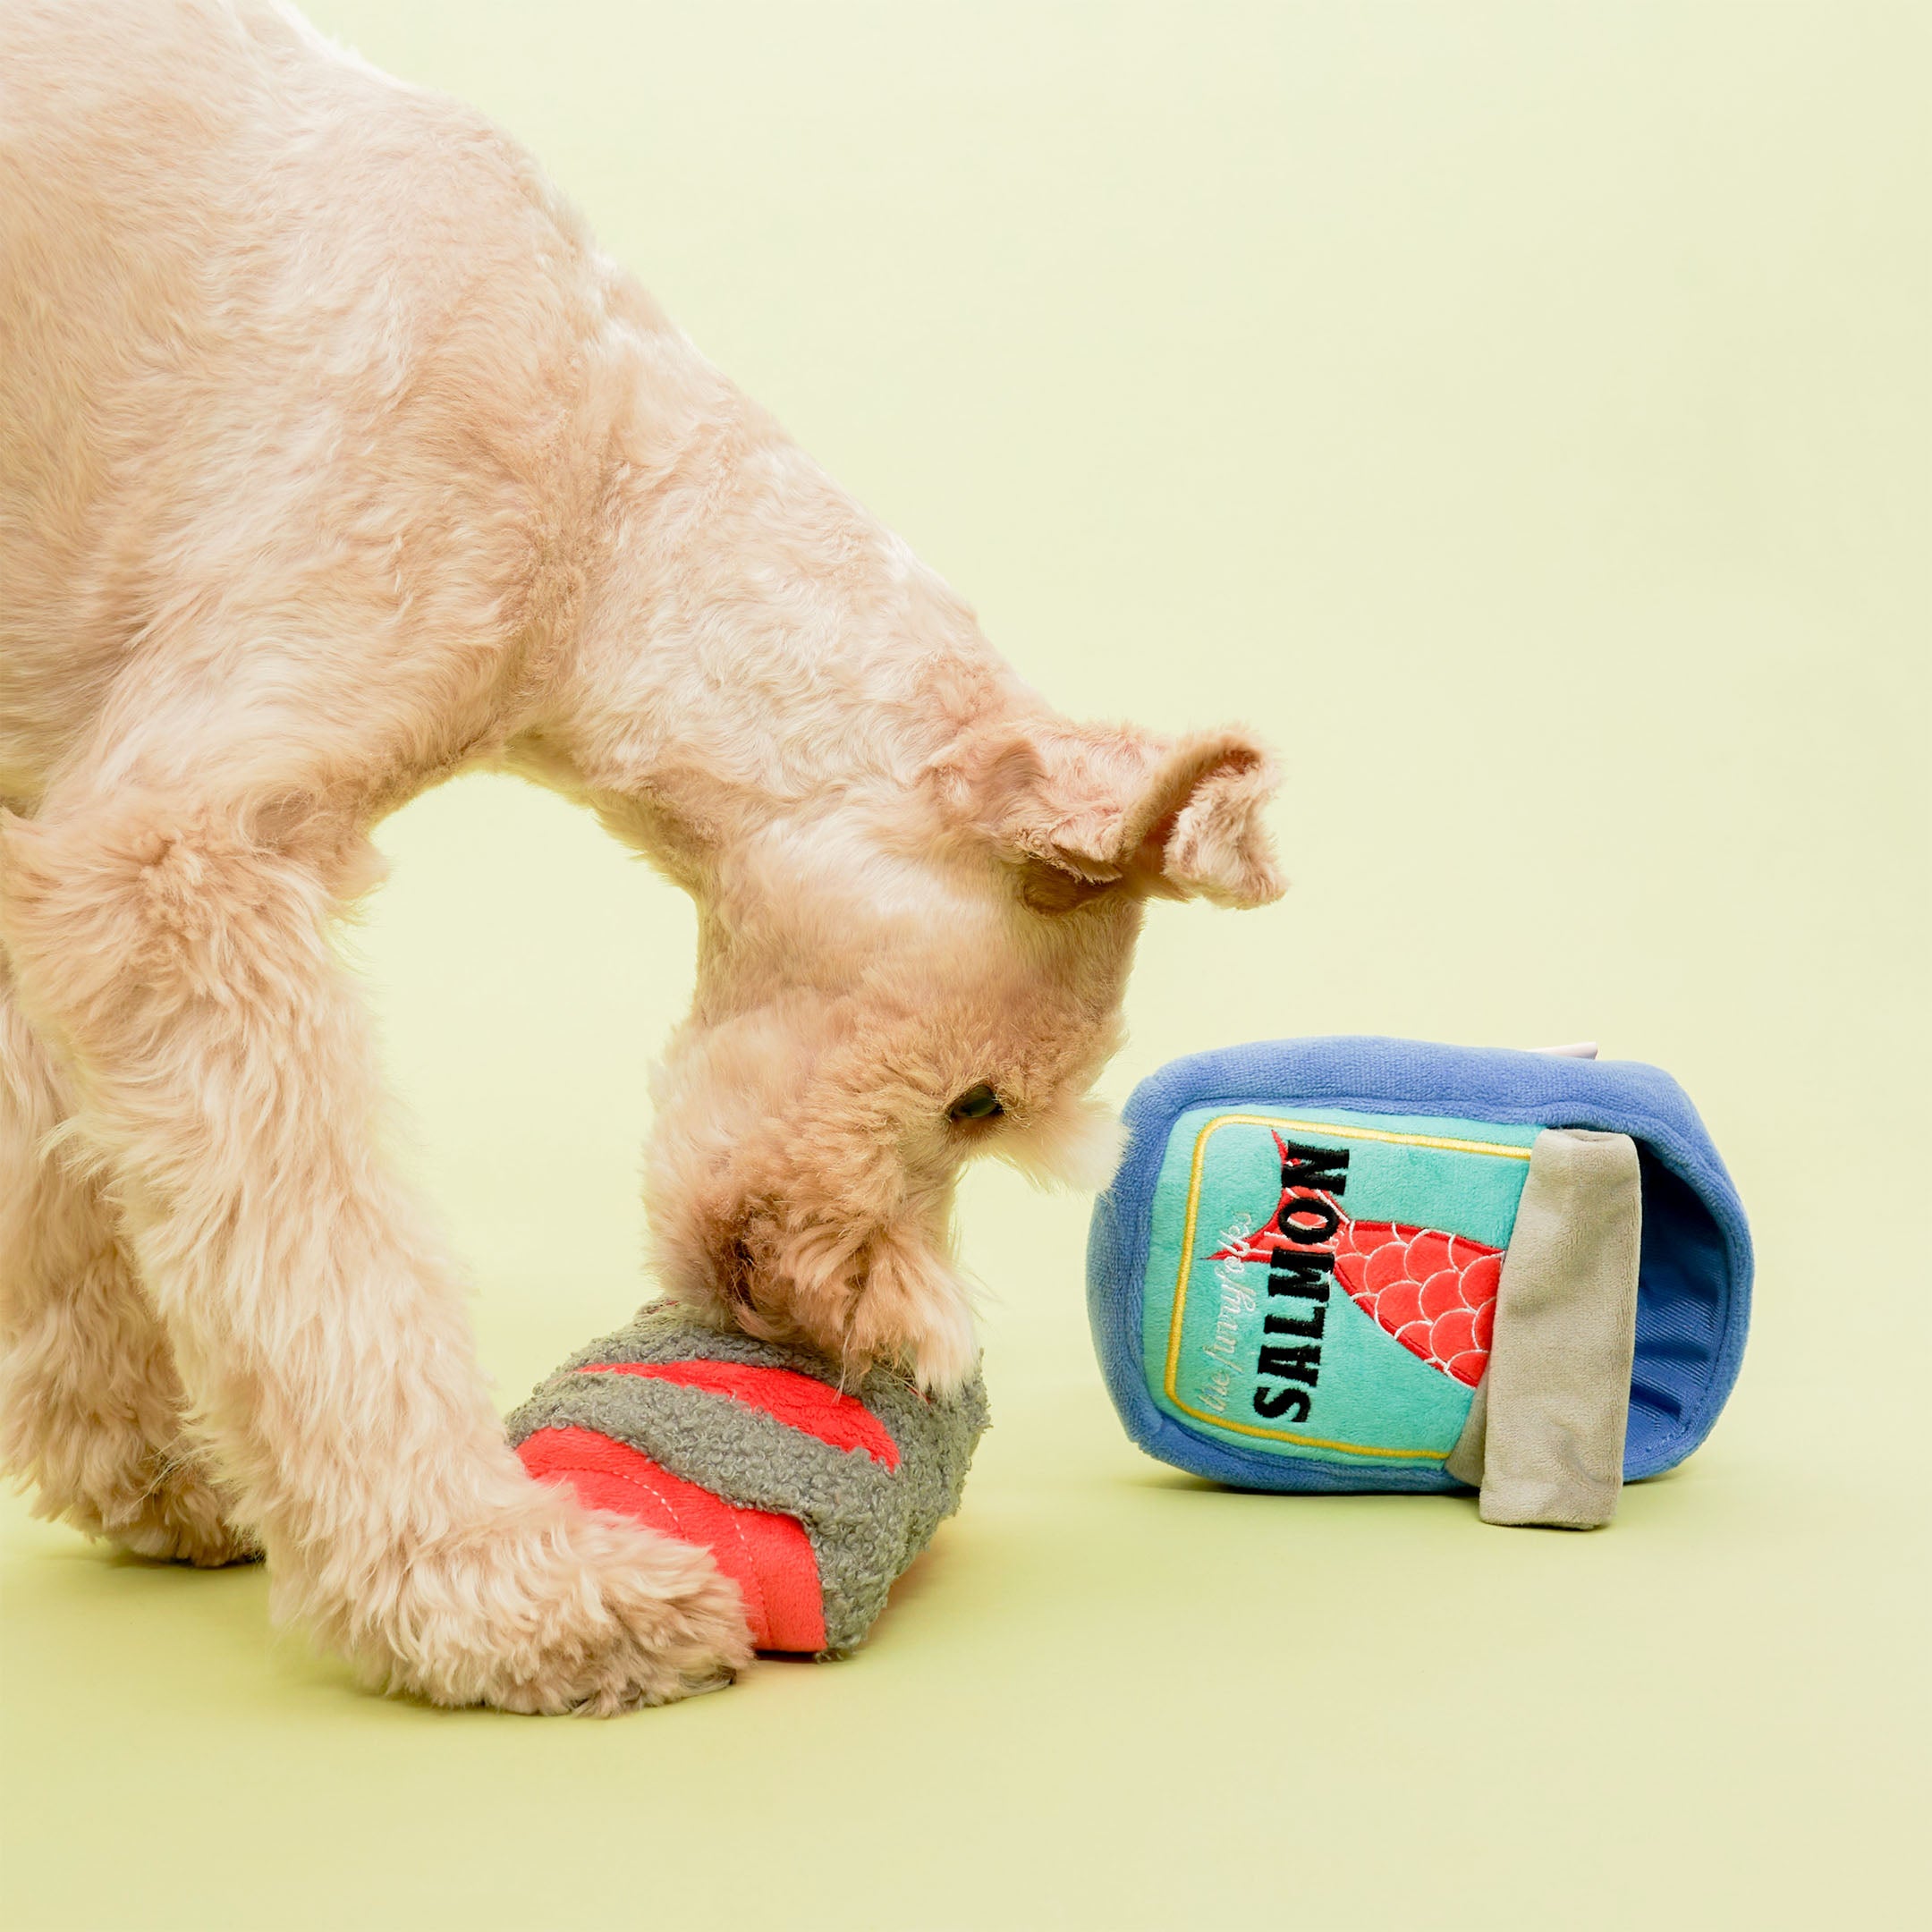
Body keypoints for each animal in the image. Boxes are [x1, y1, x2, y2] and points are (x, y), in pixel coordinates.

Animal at [0, 4, 1283, 1723]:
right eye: (978, 1105)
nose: (873, 1359)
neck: (606, 489)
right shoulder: (172, 856)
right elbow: (324, 1260)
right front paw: (503, 1594)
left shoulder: (48, 833)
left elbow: (73, 1190)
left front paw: (155, 1465)